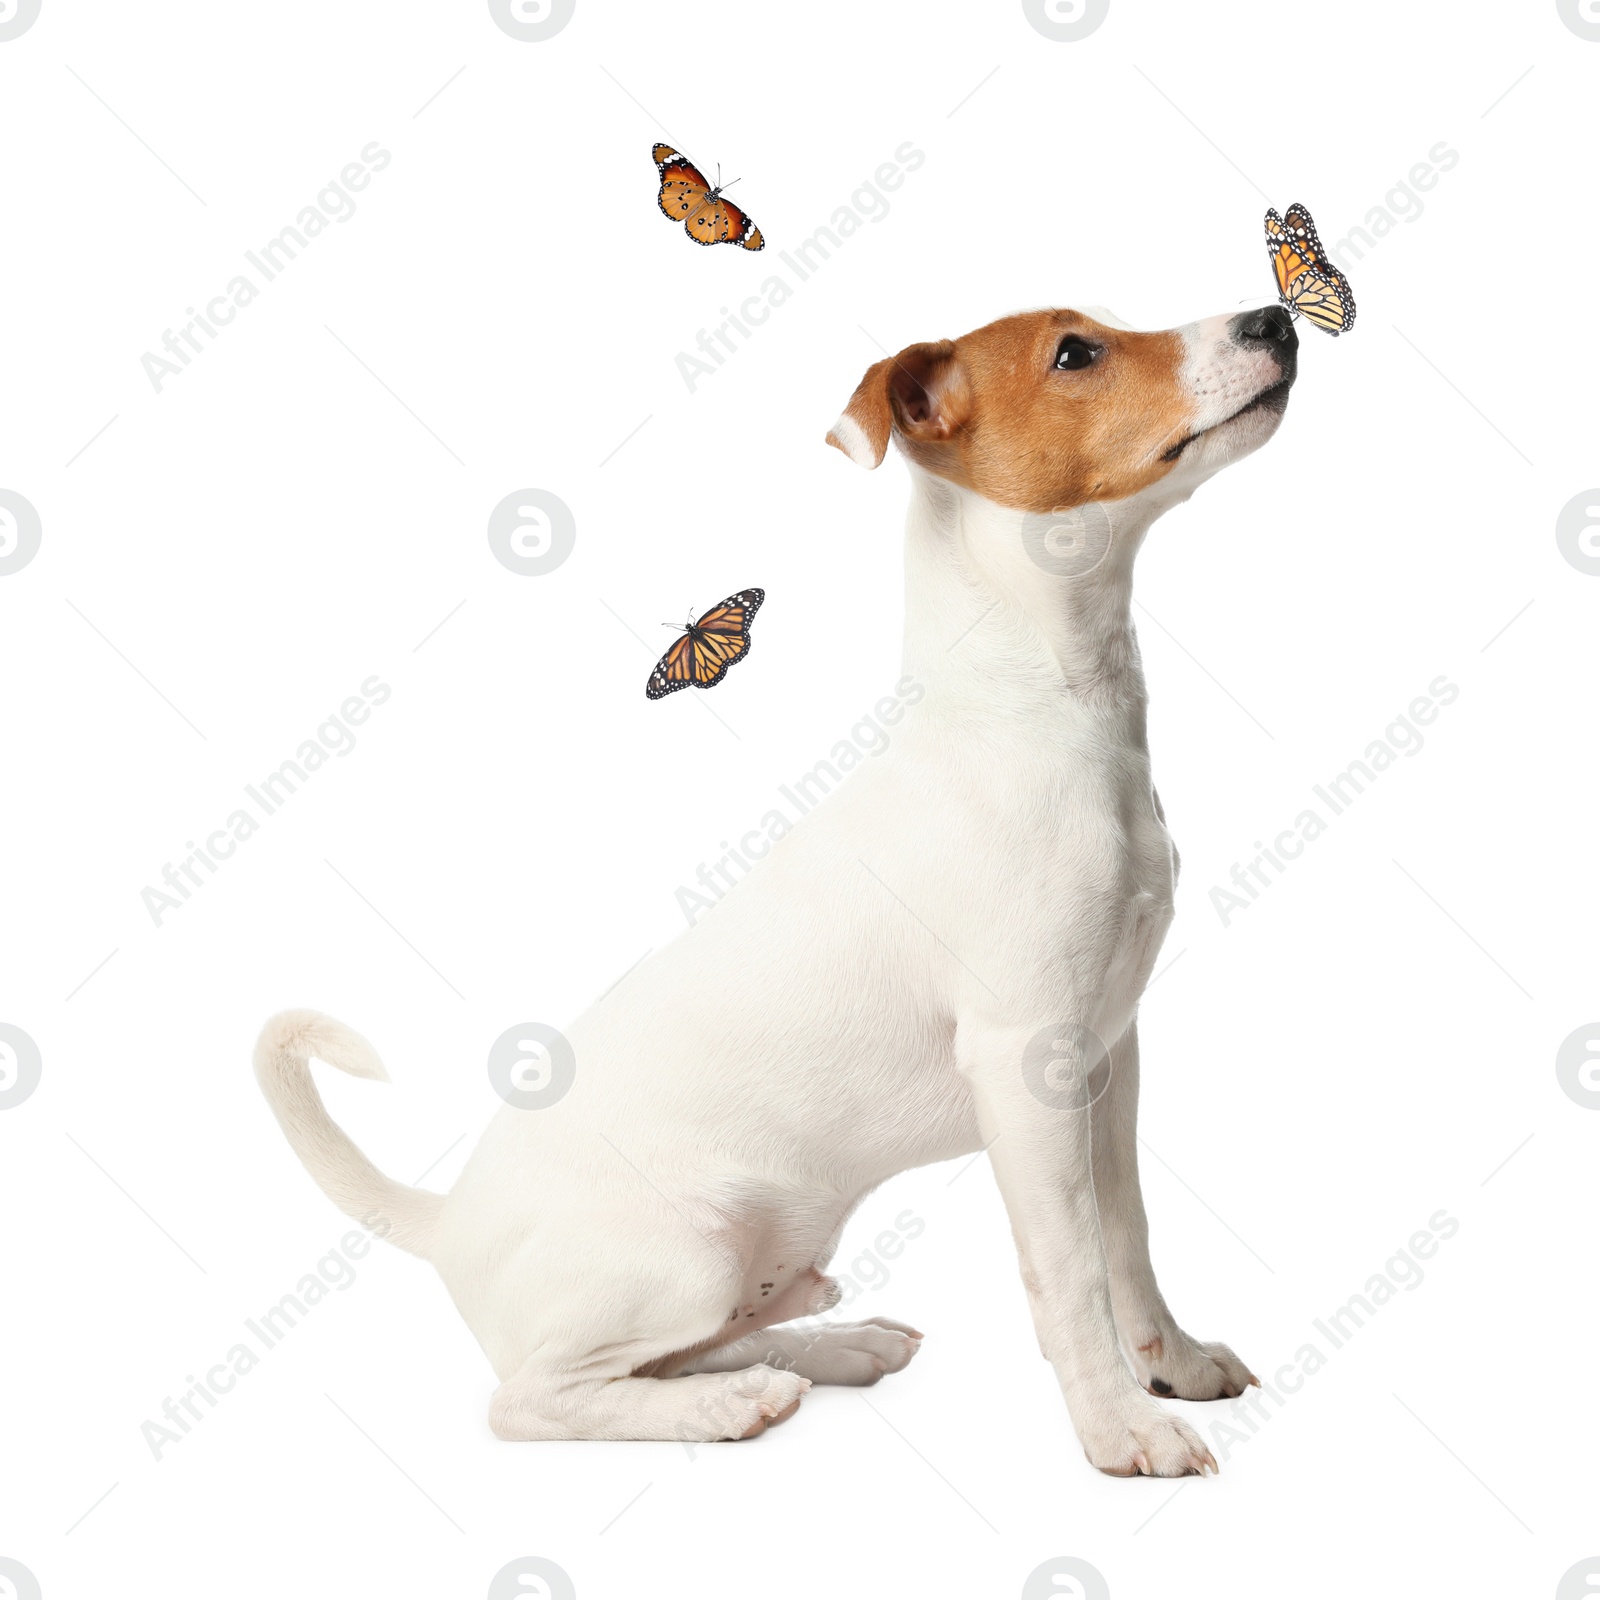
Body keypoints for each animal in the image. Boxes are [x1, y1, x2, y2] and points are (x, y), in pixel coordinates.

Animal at [252, 300, 1299, 1472]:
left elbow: (1128, 1237)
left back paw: (828, 1349)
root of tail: (448, 1222)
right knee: (537, 1398)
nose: (1273, 315)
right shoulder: (1026, 1065)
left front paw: (1174, 1363)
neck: (1038, 708)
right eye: (1075, 352)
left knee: (683, 1351)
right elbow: (1069, 1274)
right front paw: (1120, 1428)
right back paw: (723, 1408)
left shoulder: (1108, 1056)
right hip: (682, 1256)